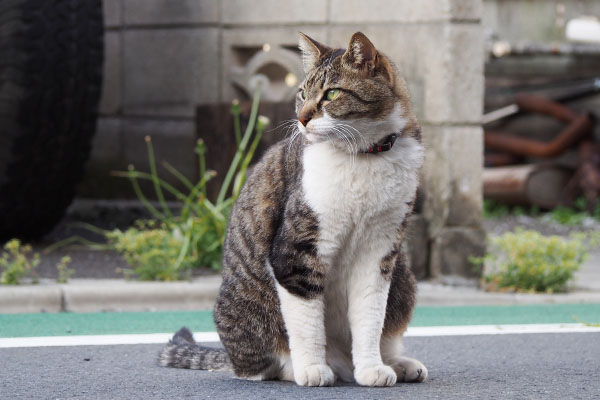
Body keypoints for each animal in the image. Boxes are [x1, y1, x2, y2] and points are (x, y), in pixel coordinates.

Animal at [159, 31, 426, 388]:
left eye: (332, 93)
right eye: (302, 93)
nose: (302, 118)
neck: (363, 157)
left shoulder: (379, 251)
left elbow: (370, 316)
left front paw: (371, 368)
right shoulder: (296, 252)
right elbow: (306, 322)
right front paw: (311, 368)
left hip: (403, 276)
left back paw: (396, 364)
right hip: (248, 314)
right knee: (261, 367)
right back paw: (303, 368)